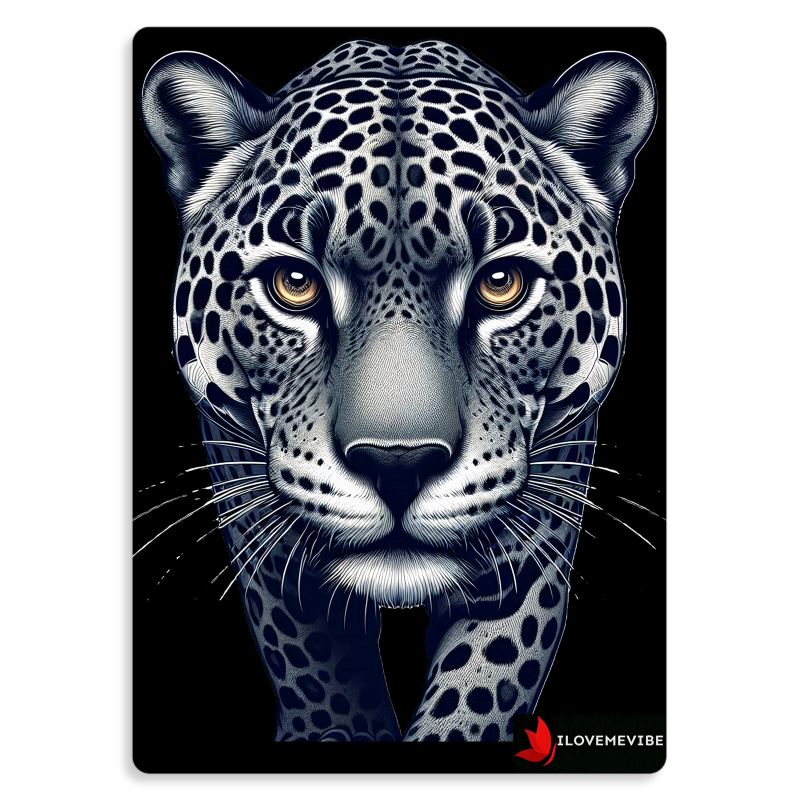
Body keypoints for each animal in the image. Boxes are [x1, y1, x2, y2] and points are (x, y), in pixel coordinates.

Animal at [140, 38, 656, 742]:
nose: (398, 465)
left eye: (501, 283)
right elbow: (316, 668)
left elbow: (482, 681)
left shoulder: (539, 522)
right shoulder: (250, 497)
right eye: (294, 283)